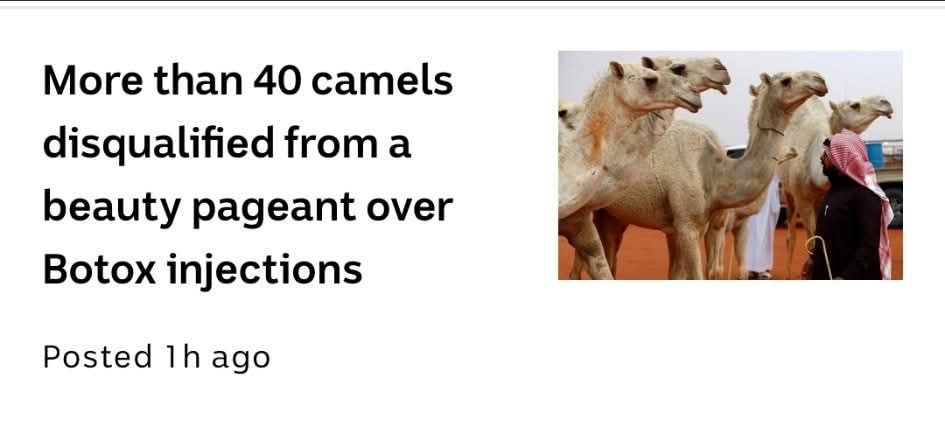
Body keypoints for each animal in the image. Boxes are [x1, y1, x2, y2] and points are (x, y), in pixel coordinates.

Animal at [570, 71, 828, 279]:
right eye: (786, 80)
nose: (820, 80)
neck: (715, 171)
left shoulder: (697, 225)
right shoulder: (687, 225)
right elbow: (697, 275)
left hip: (612, 215)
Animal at [705, 95, 894, 280]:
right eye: (855, 105)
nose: (885, 102)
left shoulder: (822, 199)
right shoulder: (802, 199)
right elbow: (811, 240)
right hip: (788, 192)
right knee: (791, 235)